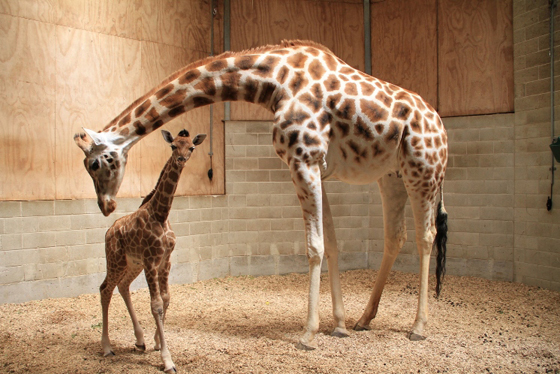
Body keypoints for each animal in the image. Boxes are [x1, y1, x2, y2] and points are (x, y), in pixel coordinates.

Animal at [100, 129, 206, 374]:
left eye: (191, 147)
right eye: (173, 146)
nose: (181, 159)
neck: (161, 213)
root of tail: (109, 232)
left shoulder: (165, 260)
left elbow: (166, 298)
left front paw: (157, 342)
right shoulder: (150, 260)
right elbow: (155, 304)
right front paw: (167, 360)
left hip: (132, 264)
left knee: (122, 286)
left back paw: (140, 340)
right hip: (116, 259)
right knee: (105, 289)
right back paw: (107, 347)